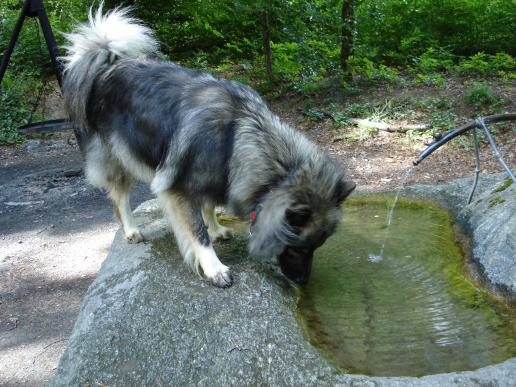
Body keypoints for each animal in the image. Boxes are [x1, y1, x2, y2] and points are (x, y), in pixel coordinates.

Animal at [61, 5, 354, 288]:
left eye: (316, 247)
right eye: (296, 248)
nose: (303, 282)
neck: (237, 135)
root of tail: (106, 65)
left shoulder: (216, 178)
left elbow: (208, 207)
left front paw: (216, 228)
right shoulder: (178, 190)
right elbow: (197, 232)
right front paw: (214, 268)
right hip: (118, 158)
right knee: (119, 199)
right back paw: (132, 230)